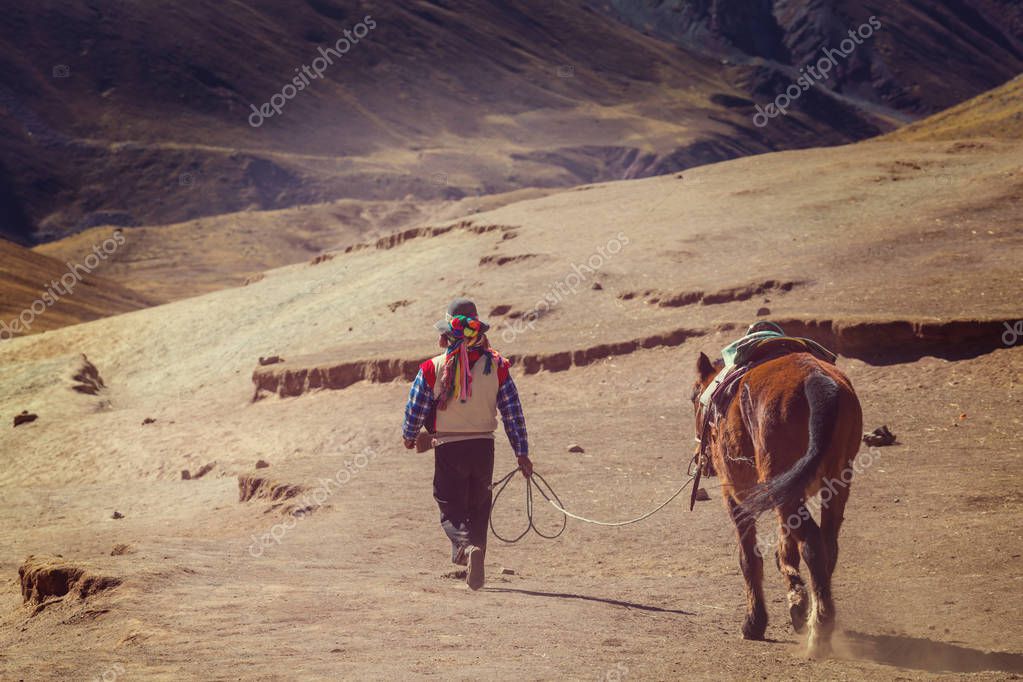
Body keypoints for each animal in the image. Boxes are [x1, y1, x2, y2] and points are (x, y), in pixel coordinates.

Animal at [691, 351, 867, 654]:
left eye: (693, 398)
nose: (701, 459)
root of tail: (815, 378)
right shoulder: (788, 494)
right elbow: (786, 549)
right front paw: (797, 602)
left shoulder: (735, 496)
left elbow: (749, 558)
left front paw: (754, 623)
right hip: (834, 483)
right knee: (827, 544)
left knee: (812, 544)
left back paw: (819, 632)